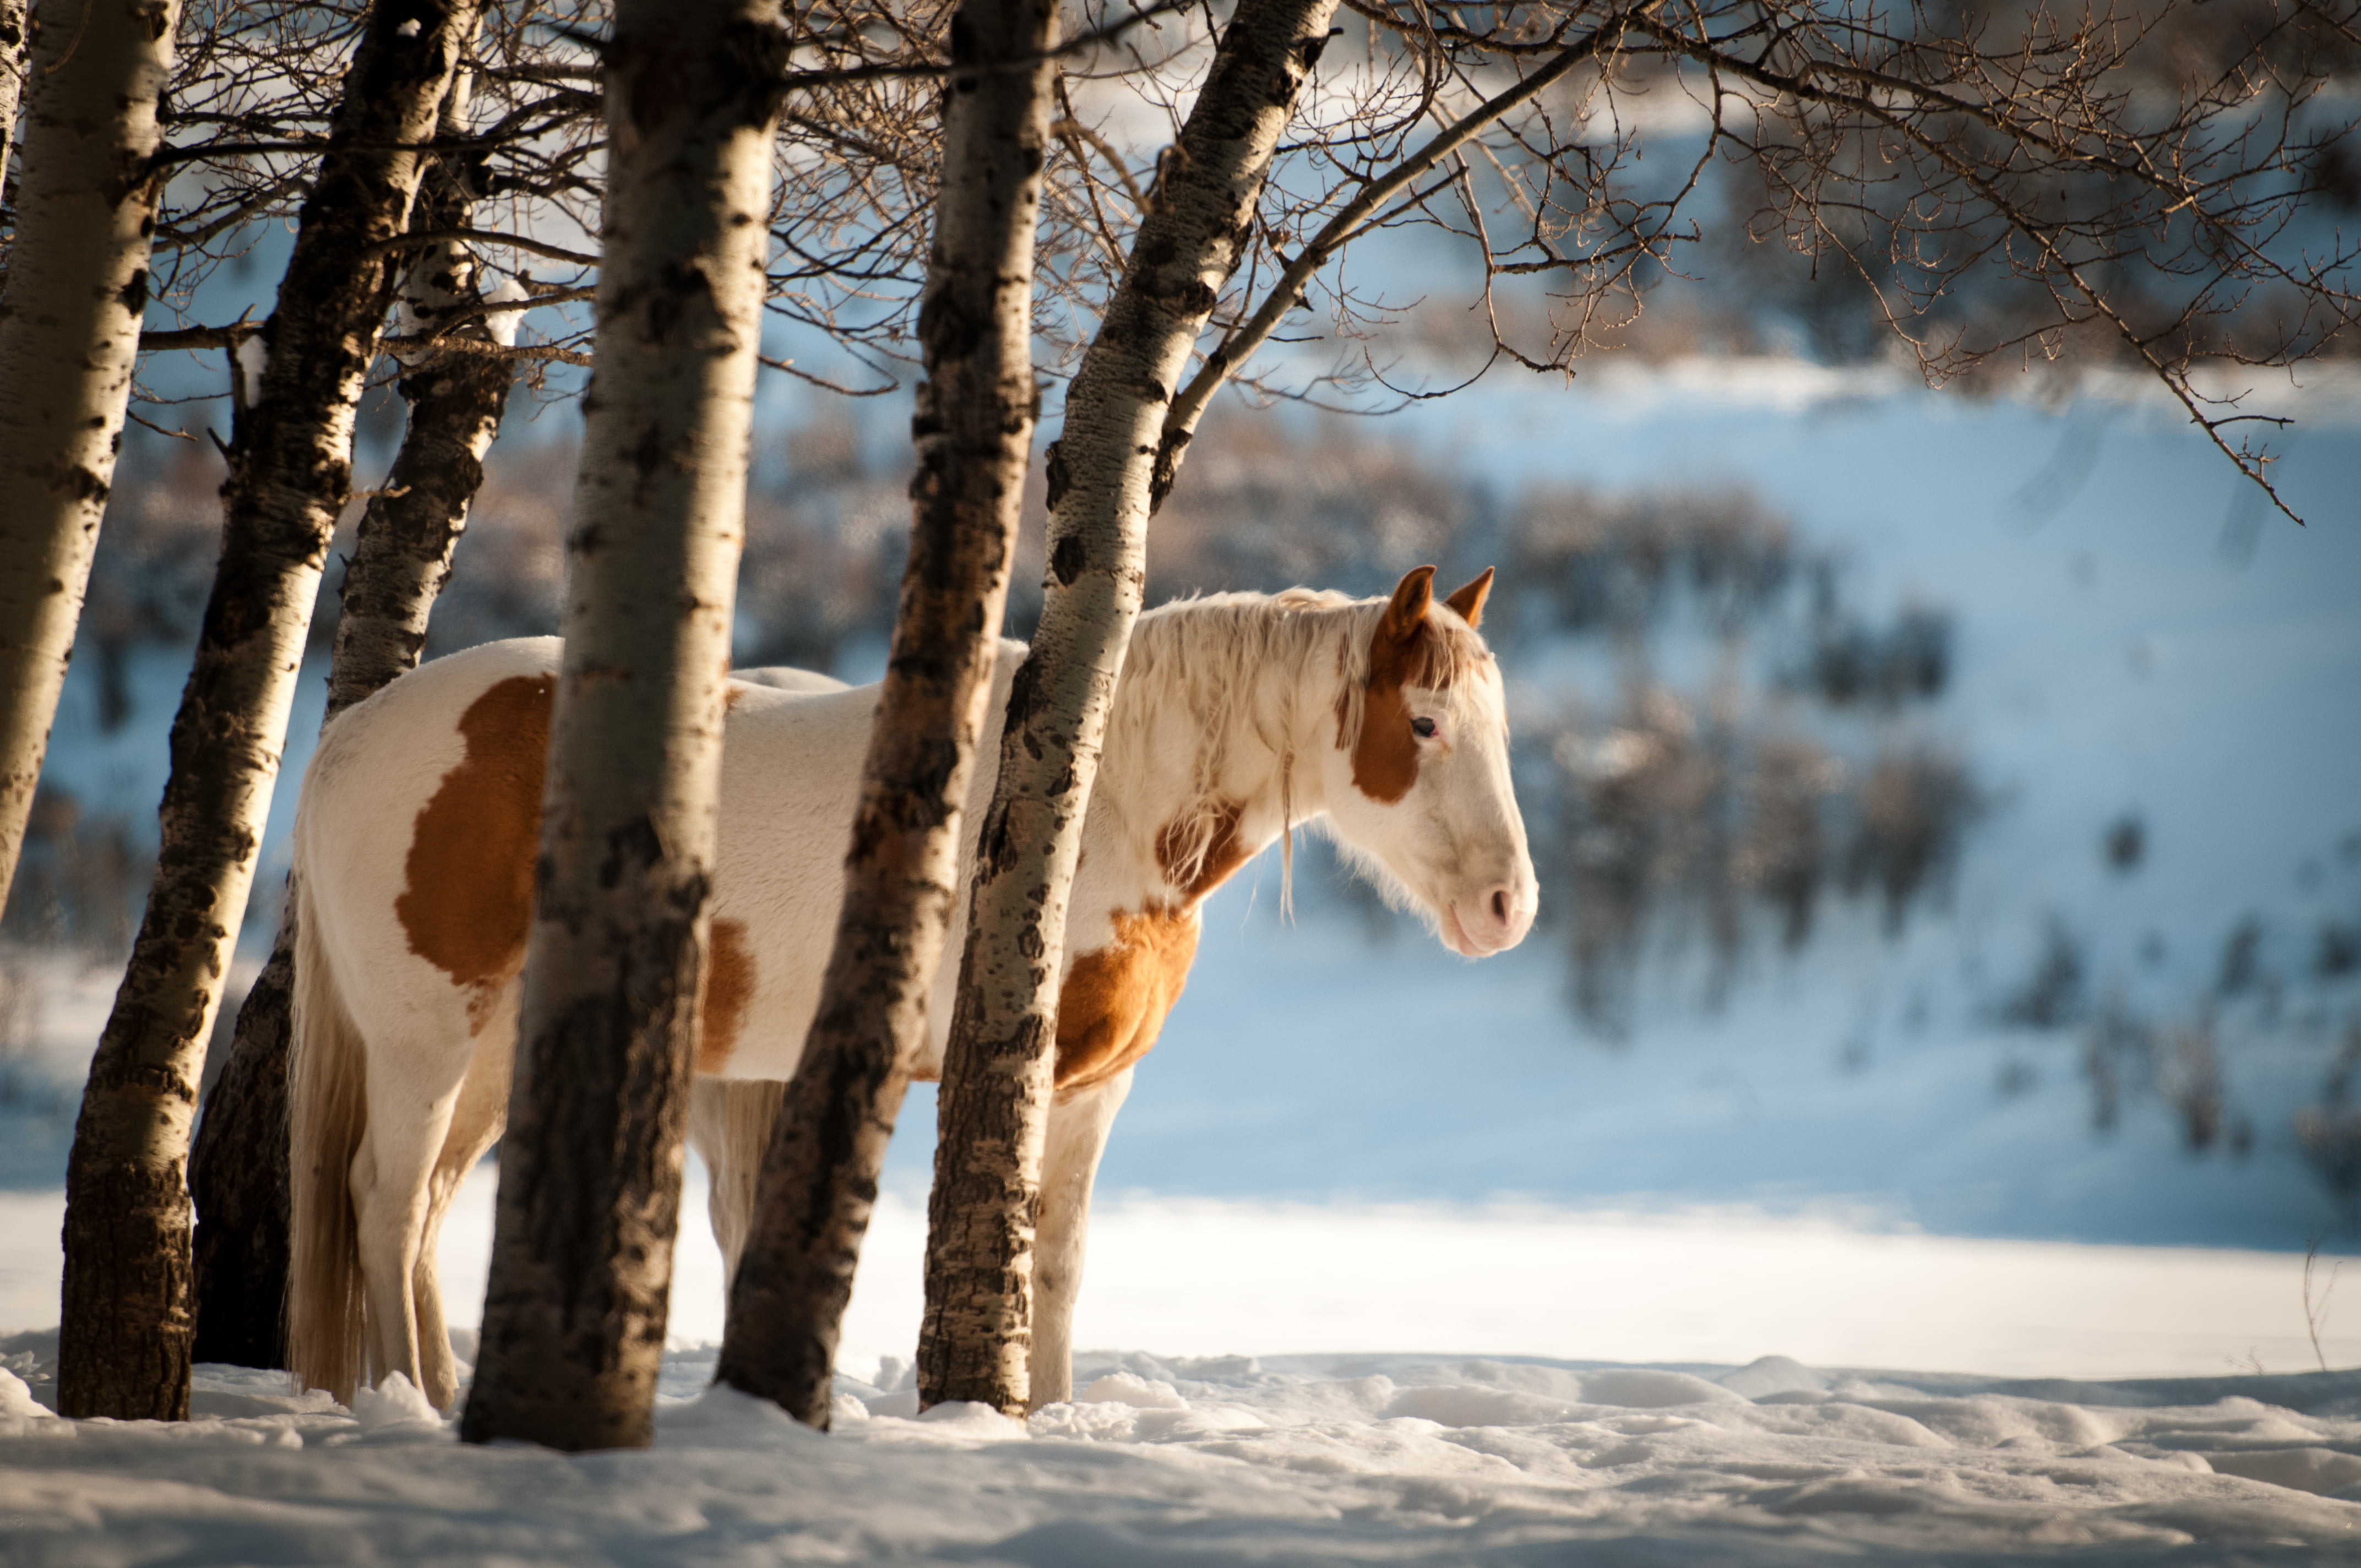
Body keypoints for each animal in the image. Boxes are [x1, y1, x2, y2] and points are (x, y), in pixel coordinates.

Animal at [285, 565, 1538, 1413]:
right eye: (1423, 723)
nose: (1506, 907)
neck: (1096, 801)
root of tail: (344, 740)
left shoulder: (1092, 1086)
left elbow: (1057, 1264)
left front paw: (1044, 1417)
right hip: (426, 1040)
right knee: (384, 1201)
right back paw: (413, 1403)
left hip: (494, 1054)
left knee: (425, 1212)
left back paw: (441, 1397)